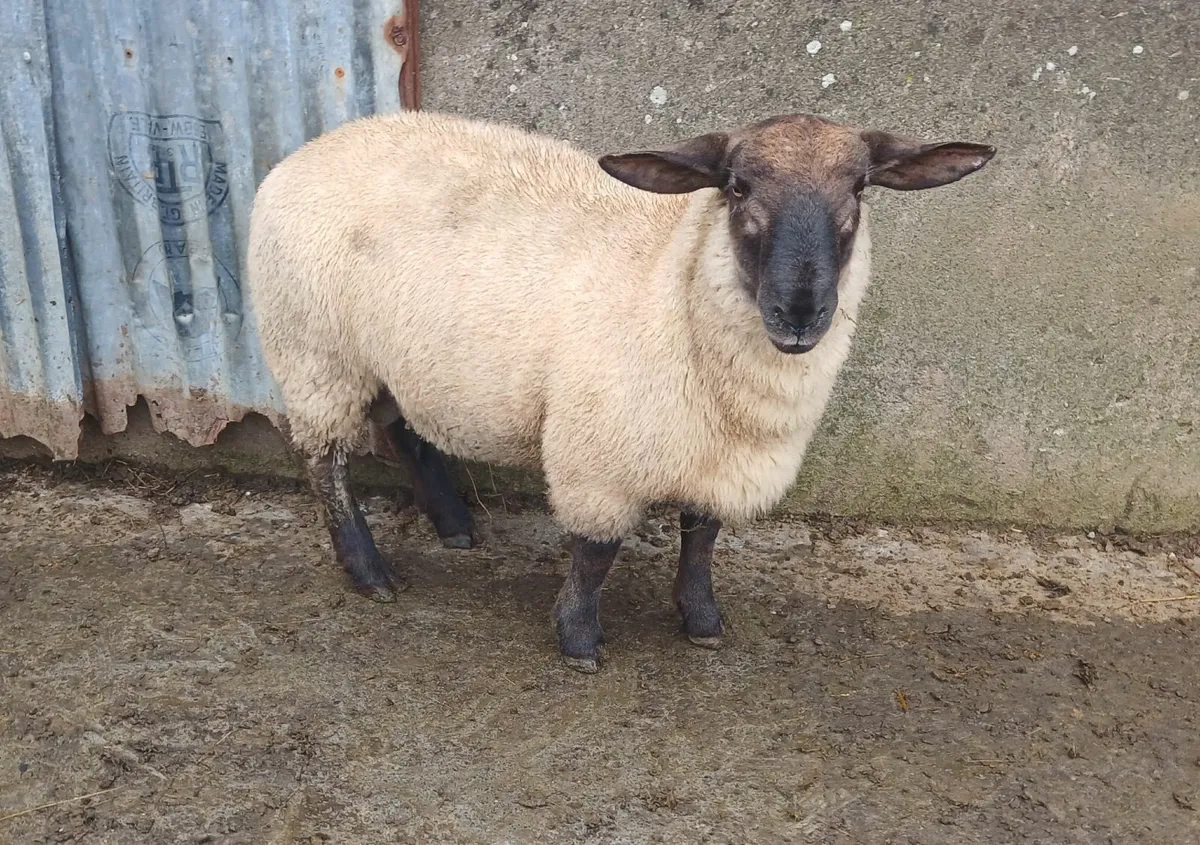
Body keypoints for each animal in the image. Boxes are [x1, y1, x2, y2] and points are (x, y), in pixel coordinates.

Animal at [246, 110, 994, 673]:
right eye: (737, 186)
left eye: (861, 188)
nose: (800, 310)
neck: (673, 283)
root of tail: (310, 149)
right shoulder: (597, 453)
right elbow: (596, 553)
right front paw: (578, 637)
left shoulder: (713, 454)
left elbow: (702, 536)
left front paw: (701, 618)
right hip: (316, 352)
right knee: (326, 463)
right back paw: (369, 571)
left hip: (395, 354)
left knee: (403, 429)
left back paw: (454, 526)